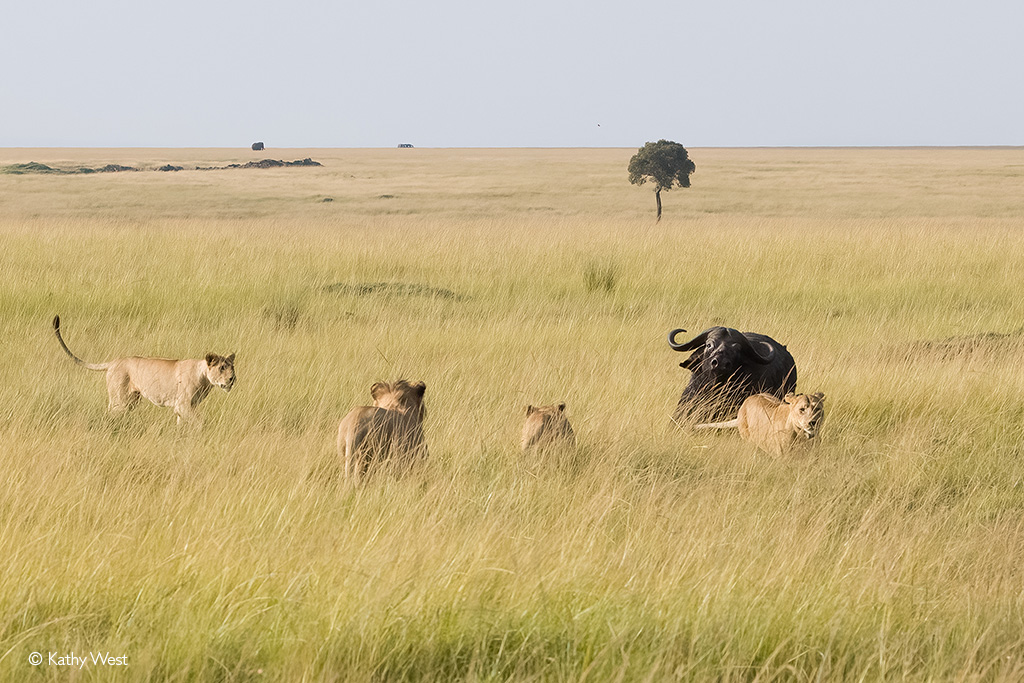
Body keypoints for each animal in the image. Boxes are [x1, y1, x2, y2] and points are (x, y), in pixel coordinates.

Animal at [53, 317, 235, 428]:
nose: (232, 379)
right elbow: (200, 422)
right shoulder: (183, 404)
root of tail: (114, 361)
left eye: (232, 367)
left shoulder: (186, 407)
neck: (204, 377)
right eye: (221, 368)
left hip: (132, 399)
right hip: (120, 399)